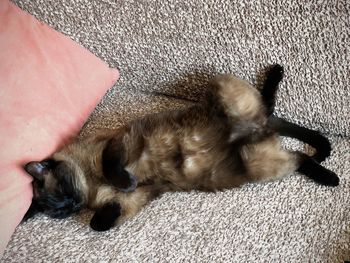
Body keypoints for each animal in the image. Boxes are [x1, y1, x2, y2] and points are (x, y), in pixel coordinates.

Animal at [22, 65, 340, 232]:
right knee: (297, 153)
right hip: (260, 164)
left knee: (269, 107)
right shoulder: (131, 201)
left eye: (61, 195)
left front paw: (123, 180)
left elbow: (114, 171)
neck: (91, 186)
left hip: (222, 91)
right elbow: (99, 222)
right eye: (57, 211)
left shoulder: (117, 144)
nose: (70, 207)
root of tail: (259, 129)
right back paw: (327, 171)